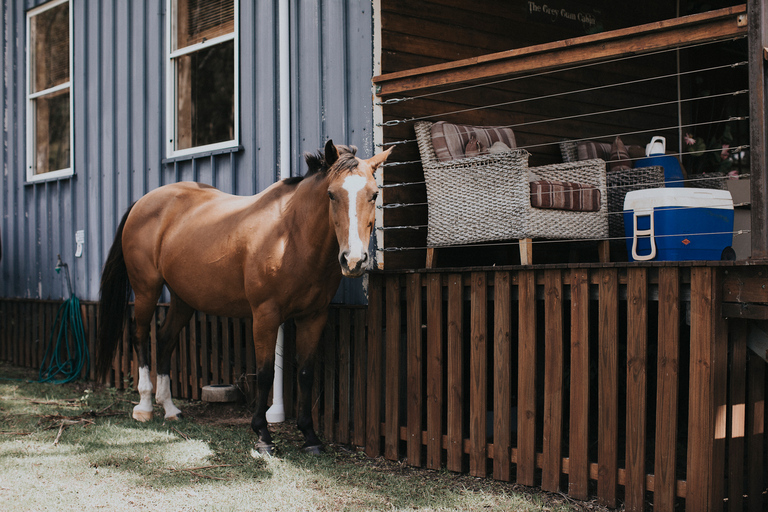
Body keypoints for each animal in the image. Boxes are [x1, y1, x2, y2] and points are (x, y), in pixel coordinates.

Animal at [97, 140, 392, 452]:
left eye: (374, 194)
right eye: (331, 194)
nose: (354, 260)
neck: (290, 235)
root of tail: (143, 202)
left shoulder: (314, 316)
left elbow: (306, 374)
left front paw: (310, 436)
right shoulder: (265, 316)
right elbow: (264, 374)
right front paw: (262, 435)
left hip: (183, 298)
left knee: (165, 340)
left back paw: (170, 408)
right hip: (146, 289)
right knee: (141, 337)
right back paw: (144, 406)